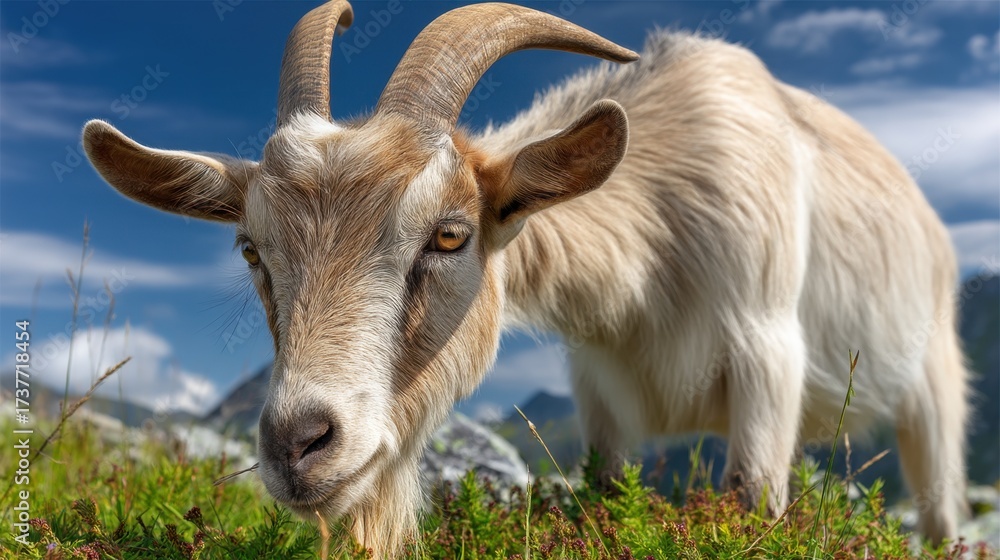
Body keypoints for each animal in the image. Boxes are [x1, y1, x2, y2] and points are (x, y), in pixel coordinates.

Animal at [83, 1, 969, 555]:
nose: (297, 446)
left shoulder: (766, 352)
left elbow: (753, 495)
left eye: (450, 235)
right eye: (251, 250)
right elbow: (605, 494)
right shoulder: (600, 390)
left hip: (933, 388)